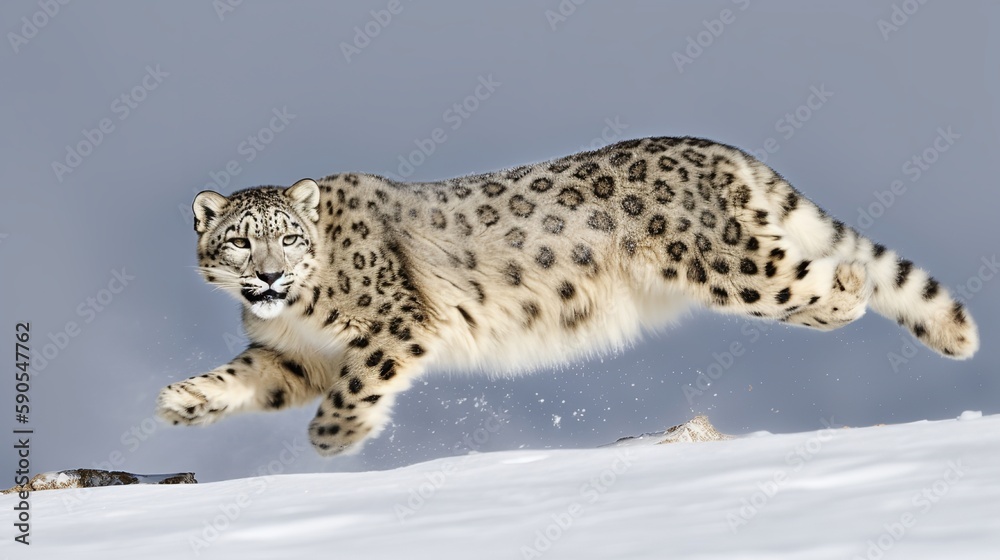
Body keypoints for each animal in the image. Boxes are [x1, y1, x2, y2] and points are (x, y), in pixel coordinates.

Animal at [156, 136, 979, 456]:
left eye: (289, 238)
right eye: (240, 241)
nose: (269, 276)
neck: (298, 313)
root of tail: (719, 151)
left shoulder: (393, 323)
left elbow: (359, 383)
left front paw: (333, 437)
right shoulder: (295, 357)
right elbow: (247, 377)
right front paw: (181, 401)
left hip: (733, 265)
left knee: (832, 275)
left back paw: (849, 289)